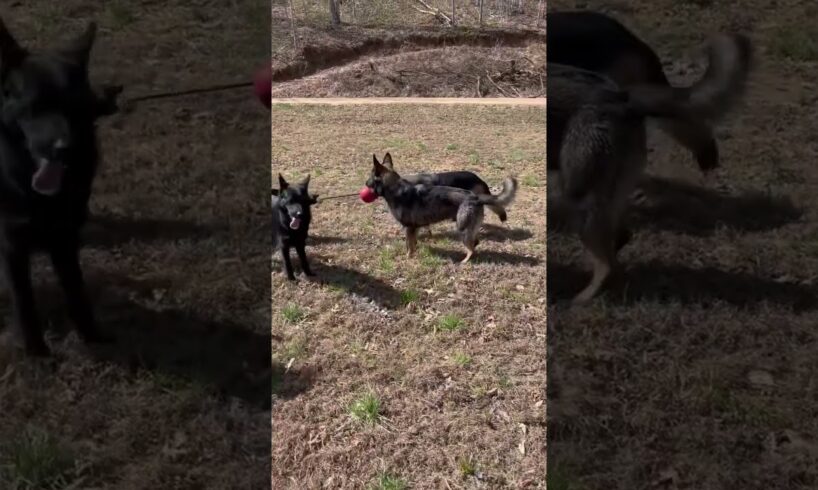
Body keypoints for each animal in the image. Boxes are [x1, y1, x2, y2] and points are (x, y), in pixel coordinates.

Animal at [0, 19, 116, 356]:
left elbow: (77, 290)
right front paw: (37, 352)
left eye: (75, 107)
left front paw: (92, 337)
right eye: (34, 106)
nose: (64, 149)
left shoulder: (65, 237)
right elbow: (24, 302)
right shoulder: (12, 244)